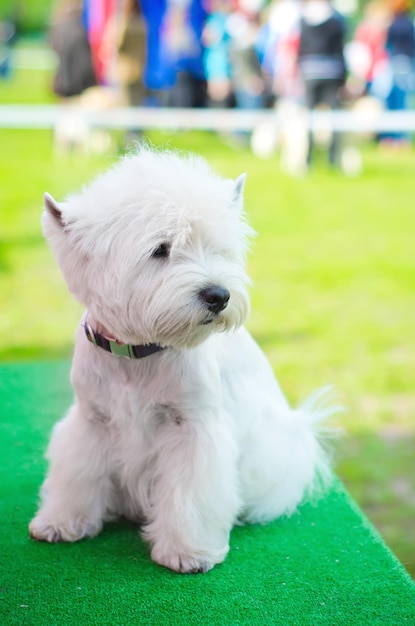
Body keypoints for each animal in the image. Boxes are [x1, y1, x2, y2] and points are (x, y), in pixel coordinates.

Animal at [29, 145, 336, 572]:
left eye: (217, 248)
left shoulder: (193, 428)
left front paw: (188, 551)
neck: (137, 354)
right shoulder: (92, 420)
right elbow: (77, 471)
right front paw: (62, 521)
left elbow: (190, 492)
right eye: (160, 249)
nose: (219, 295)